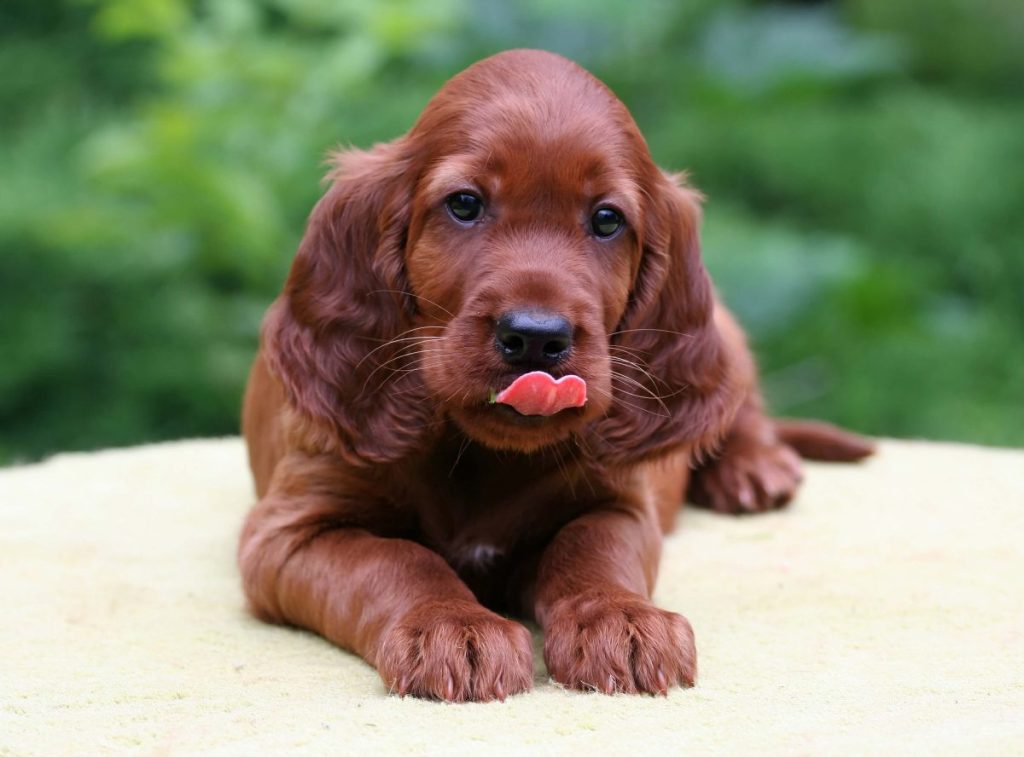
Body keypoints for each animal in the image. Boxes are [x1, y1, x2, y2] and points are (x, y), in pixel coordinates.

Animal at [239, 48, 872, 704]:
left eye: (607, 220)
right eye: (464, 204)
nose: (537, 337)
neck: (482, 451)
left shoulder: (621, 506)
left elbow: (588, 550)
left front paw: (620, 619)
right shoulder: (289, 532)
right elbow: (395, 561)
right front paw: (453, 627)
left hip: (725, 335)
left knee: (737, 404)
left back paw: (753, 466)